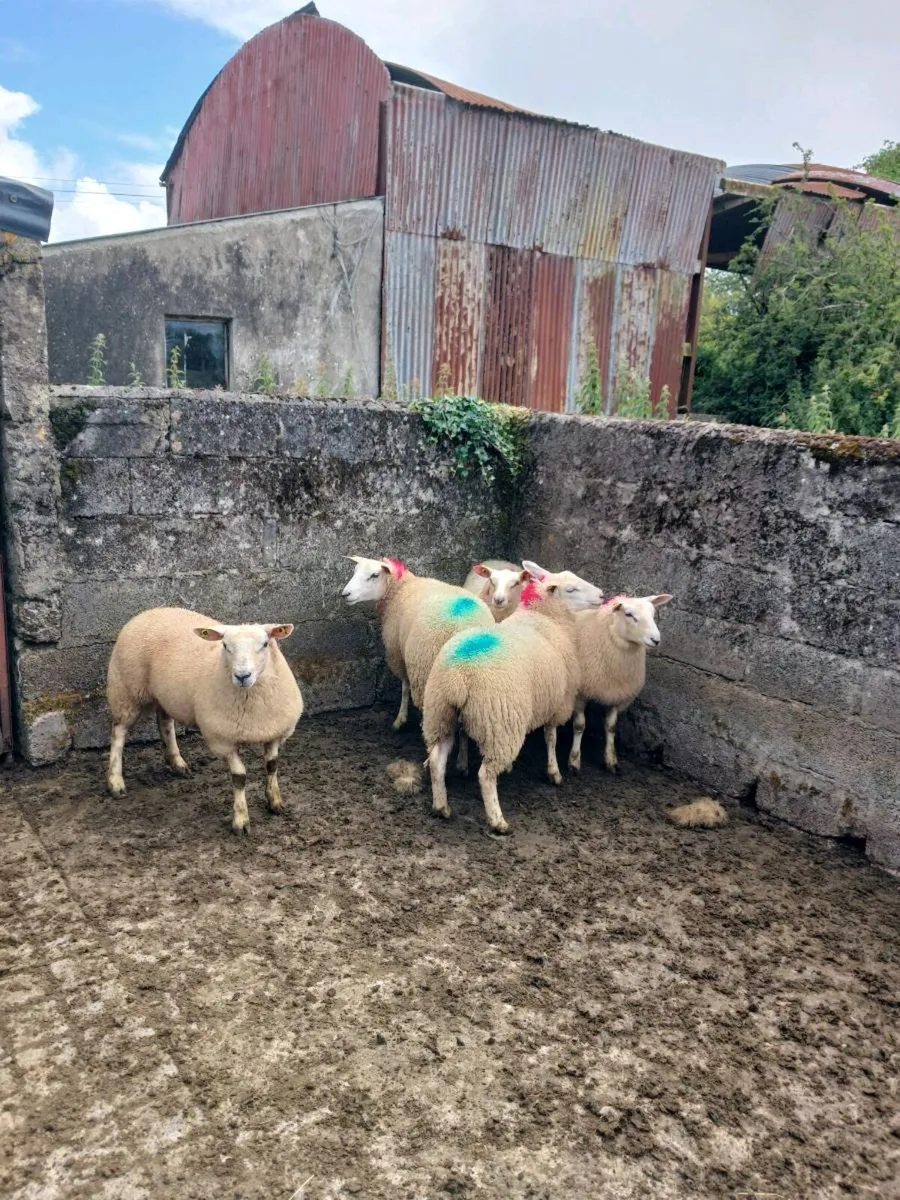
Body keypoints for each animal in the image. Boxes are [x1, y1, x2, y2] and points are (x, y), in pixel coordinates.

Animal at [106, 607, 303, 834]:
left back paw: (177, 763)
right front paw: (241, 821)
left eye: (265, 644)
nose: (242, 675)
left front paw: (275, 803)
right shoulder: (222, 740)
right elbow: (239, 778)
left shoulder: (274, 731)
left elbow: (271, 766)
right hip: (126, 690)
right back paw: (115, 782)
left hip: (165, 695)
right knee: (118, 732)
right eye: (225, 646)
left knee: (164, 723)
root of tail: (150, 611)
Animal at [422, 577, 581, 835]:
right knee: (485, 775)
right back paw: (498, 821)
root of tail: (459, 675)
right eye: (571, 588)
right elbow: (551, 738)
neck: (544, 616)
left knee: (437, 760)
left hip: (441, 713)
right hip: (500, 723)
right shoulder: (557, 703)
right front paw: (554, 773)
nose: (602, 597)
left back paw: (441, 807)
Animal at [568, 593, 672, 775]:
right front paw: (574, 761)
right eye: (629, 614)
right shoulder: (580, 694)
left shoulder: (618, 694)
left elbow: (611, 727)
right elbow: (580, 725)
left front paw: (611, 760)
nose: (656, 640)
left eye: (653, 614)